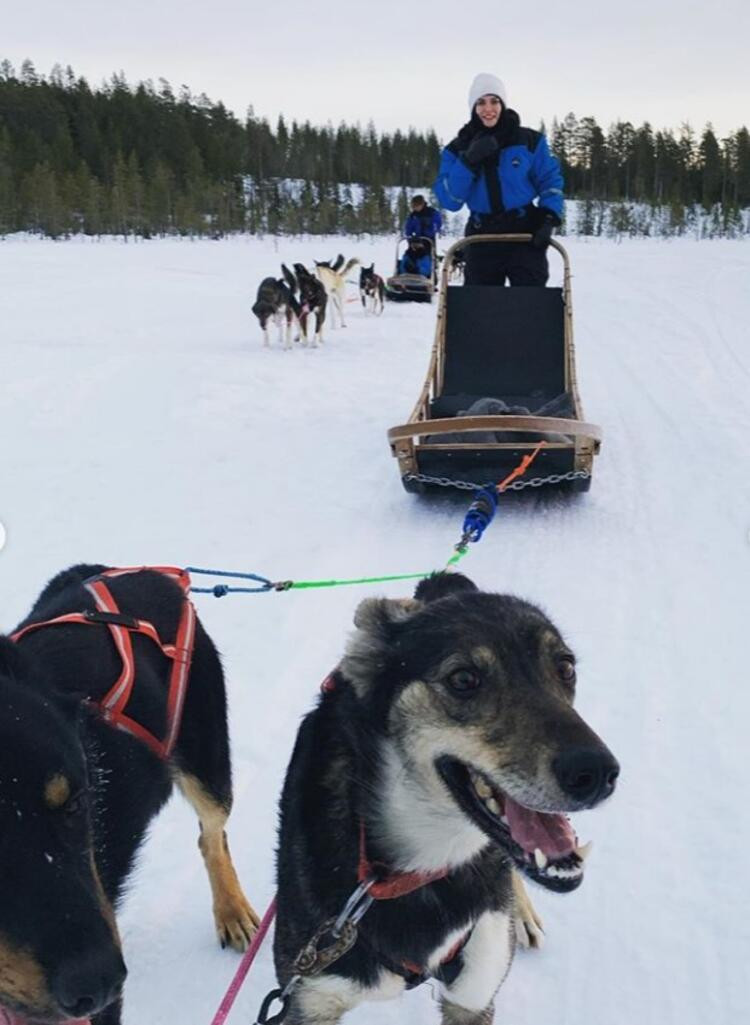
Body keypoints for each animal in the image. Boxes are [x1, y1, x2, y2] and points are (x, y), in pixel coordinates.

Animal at [0, 565, 258, 1025]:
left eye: (77, 804)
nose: (99, 982)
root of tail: (147, 573)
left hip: (207, 768)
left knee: (212, 835)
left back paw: (231, 910)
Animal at [276, 574, 622, 1020]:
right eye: (463, 679)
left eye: (565, 668)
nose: (596, 772)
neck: (425, 865)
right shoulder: (309, 998)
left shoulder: (474, 994)